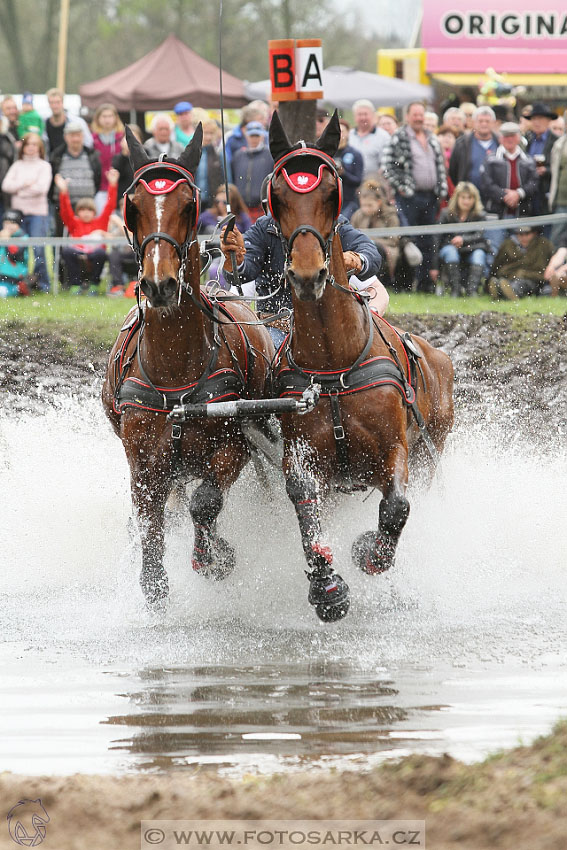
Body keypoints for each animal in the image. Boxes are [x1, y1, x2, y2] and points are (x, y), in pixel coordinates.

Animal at [102, 124, 276, 604]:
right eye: (133, 205)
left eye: (187, 204)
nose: (159, 284)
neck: (174, 368)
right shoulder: (142, 462)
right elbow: (150, 527)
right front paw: (154, 583)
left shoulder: (235, 445)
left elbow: (207, 503)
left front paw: (216, 557)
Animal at [268, 109, 454, 620]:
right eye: (278, 193)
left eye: (331, 190)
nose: (307, 273)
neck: (335, 361)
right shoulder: (302, 454)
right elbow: (303, 503)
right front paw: (327, 585)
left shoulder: (395, 449)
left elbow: (397, 508)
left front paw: (370, 552)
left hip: (433, 449)